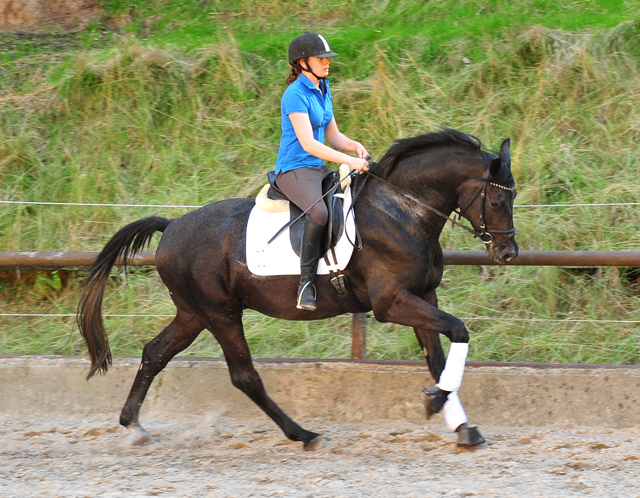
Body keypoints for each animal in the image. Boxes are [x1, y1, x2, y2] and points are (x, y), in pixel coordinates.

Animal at [77, 130, 520, 450]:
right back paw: (304, 434)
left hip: (193, 313)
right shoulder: (392, 302)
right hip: (220, 313)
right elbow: (458, 331)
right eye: (499, 200)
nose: (508, 253)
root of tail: (171, 227)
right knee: (244, 376)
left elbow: (437, 357)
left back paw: (133, 426)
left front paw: (462, 426)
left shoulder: (424, 297)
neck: (402, 211)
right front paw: (436, 401)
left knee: (155, 354)